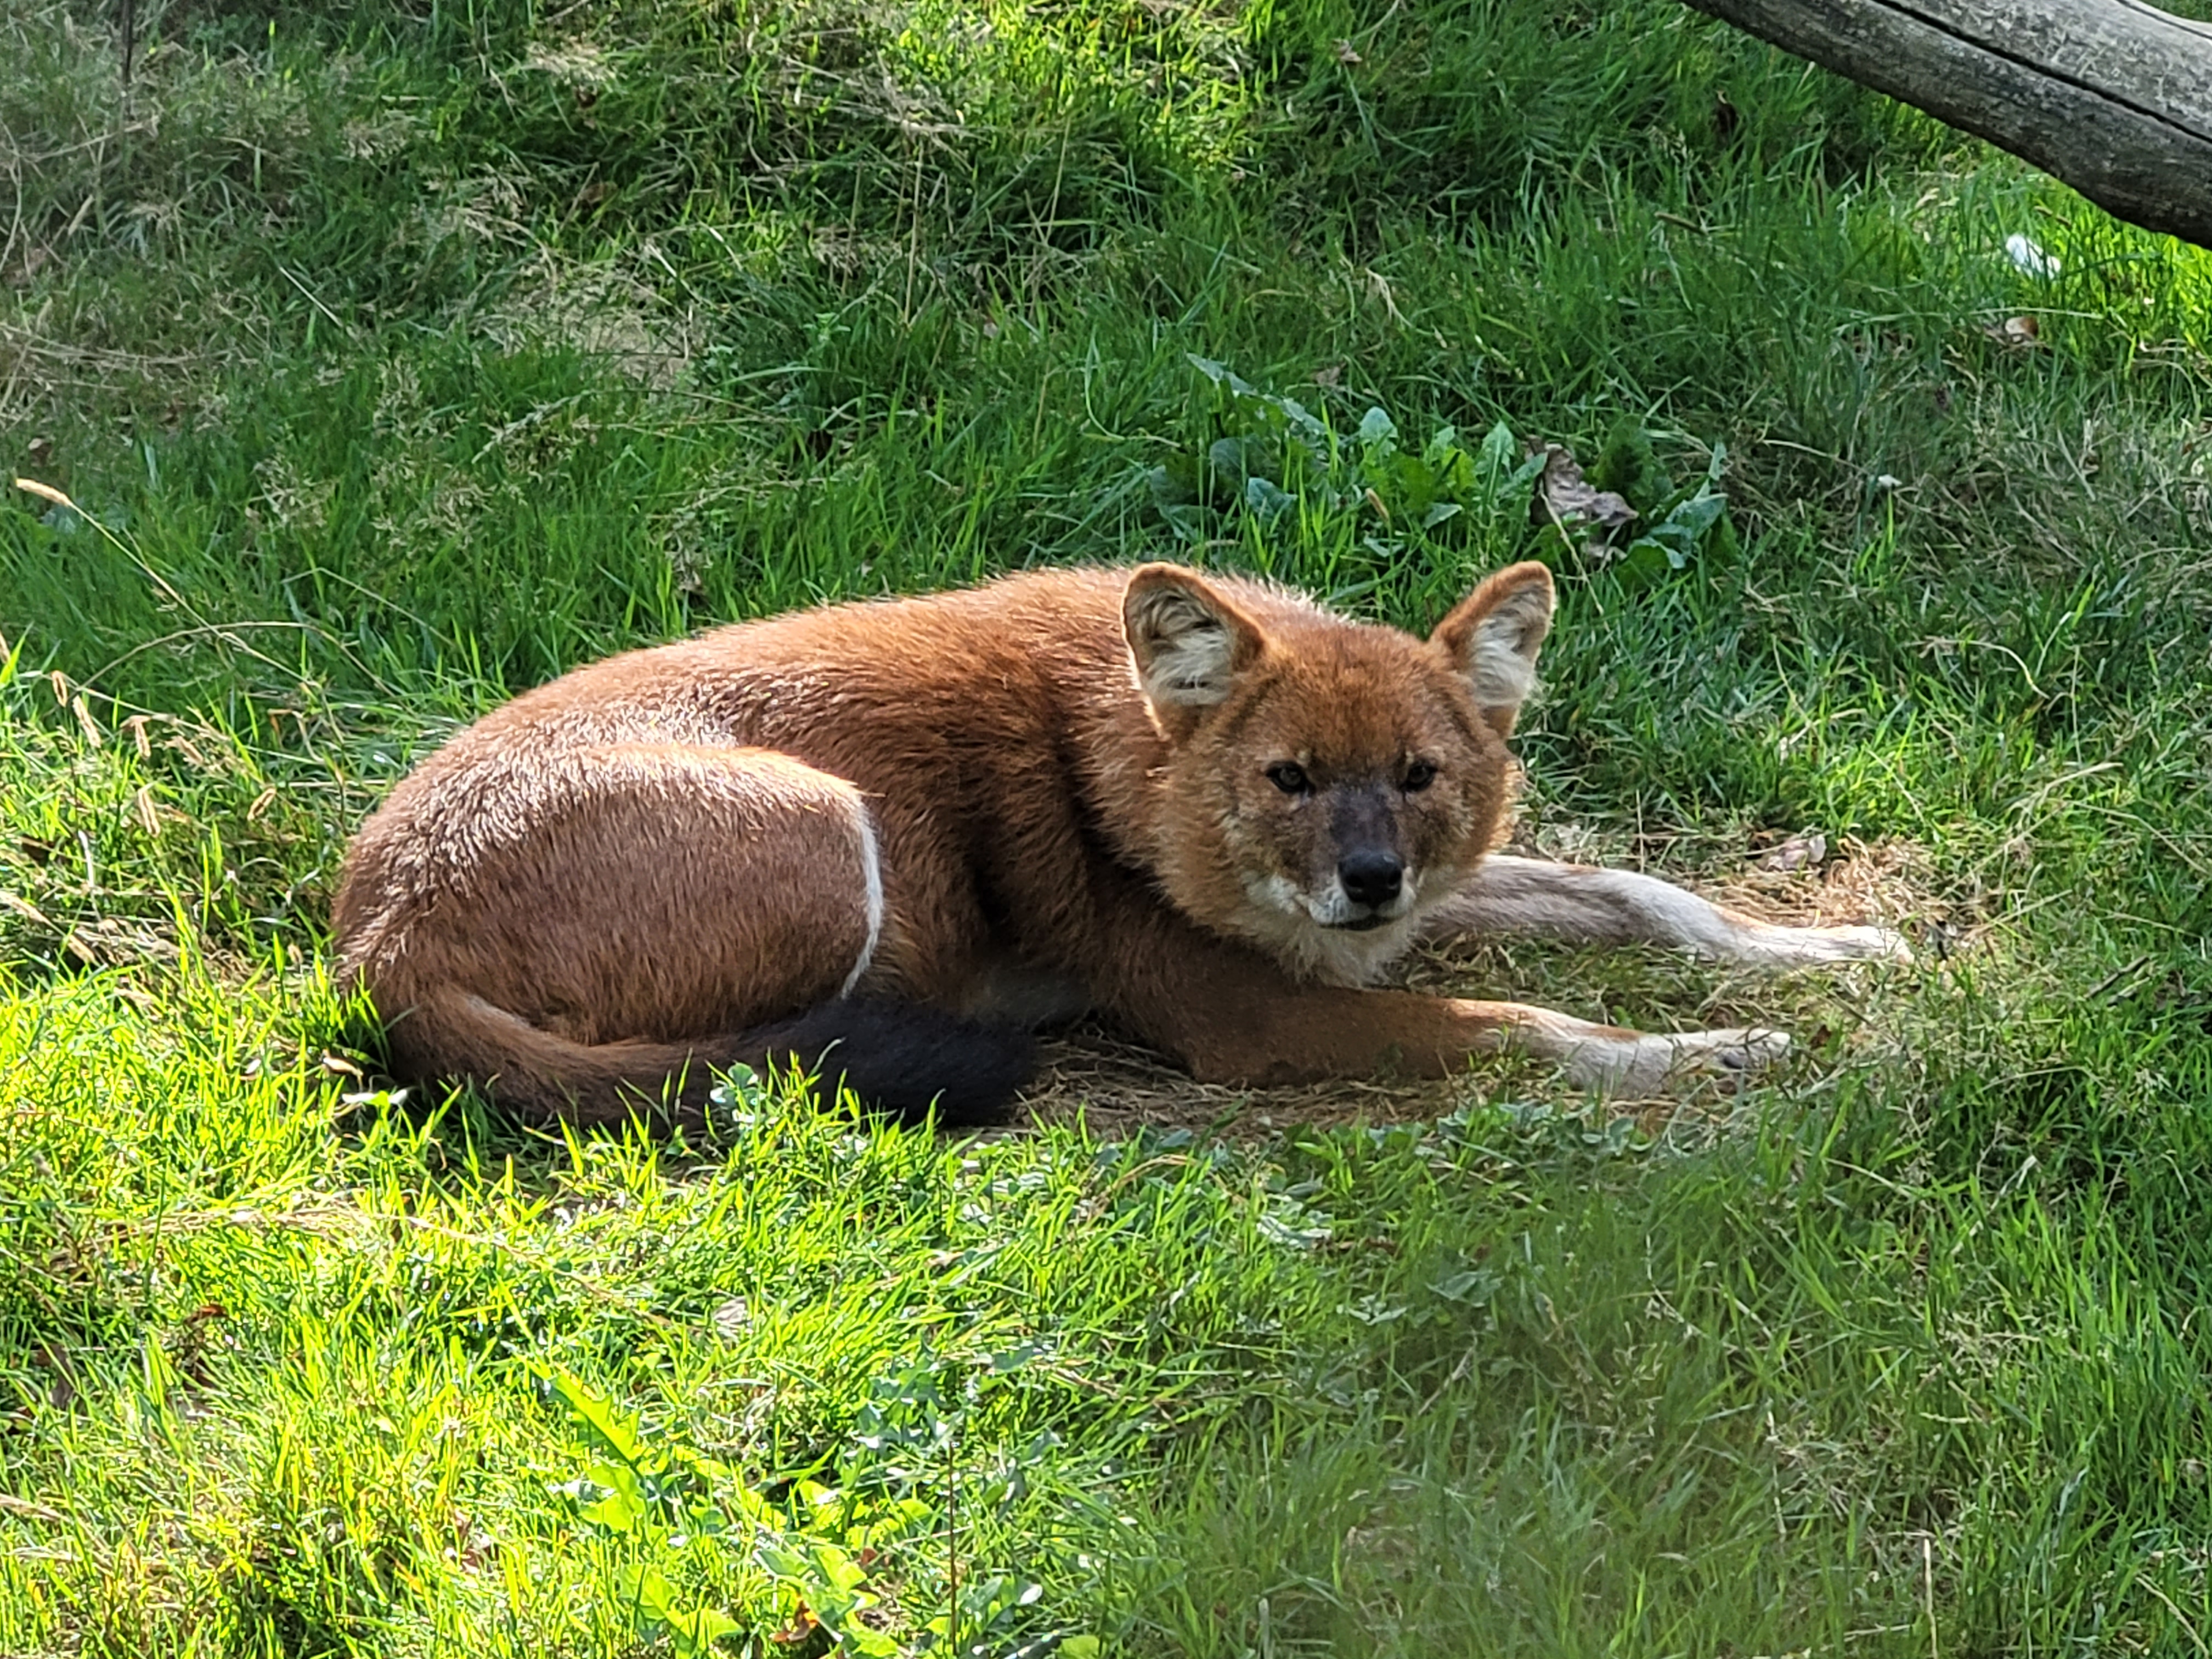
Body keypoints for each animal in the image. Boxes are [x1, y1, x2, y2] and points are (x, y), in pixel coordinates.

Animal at [332, 561, 1907, 1127]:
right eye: (1288, 778)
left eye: (1417, 777)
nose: (1370, 878)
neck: (1137, 760)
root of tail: (370, 936)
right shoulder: (1254, 1019)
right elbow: (1531, 1026)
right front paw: (1718, 1055)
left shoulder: (1374, 925)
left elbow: (1634, 892)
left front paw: (1841, 952)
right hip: (827, 830)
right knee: (745, 1065)